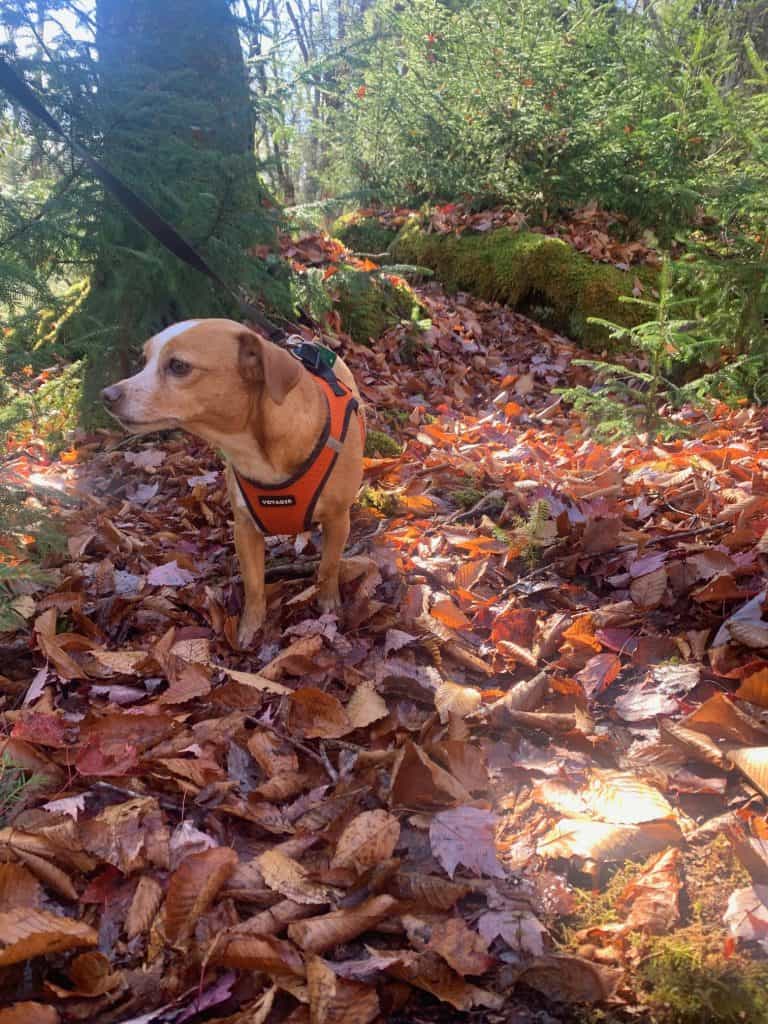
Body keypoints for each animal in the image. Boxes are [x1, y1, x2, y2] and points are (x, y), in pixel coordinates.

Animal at [102, 319, 366, 643]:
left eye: (178, 366)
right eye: (144, 360)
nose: (107, 395)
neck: (257, 453)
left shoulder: (338, 520)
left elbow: (329, 566)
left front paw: (328, 602)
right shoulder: (245, 529)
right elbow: (253, 584)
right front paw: (251, 627)